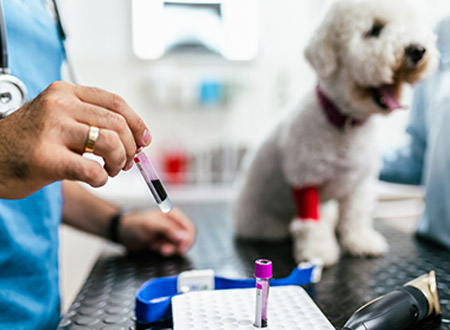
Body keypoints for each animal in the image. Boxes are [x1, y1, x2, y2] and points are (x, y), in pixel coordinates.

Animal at [234, 0, 438, 266]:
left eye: (411, 24)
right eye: (374, 30)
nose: (417, 50)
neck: (345, 124)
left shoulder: (360, 182)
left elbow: (356, 214)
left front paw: (361, 241)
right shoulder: (306, 180)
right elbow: (312, 222)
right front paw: (318, 250)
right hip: (257, 217)